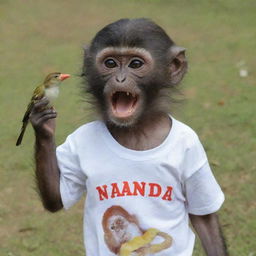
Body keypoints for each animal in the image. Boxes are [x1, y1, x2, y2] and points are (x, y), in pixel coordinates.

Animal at [29, 19, 228, 255]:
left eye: (135, 64)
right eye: (110, 63)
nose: (120, 78)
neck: (136, 128)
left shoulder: (195, 153)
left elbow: (204, 221)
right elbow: (55, 197)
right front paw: (43, 124)